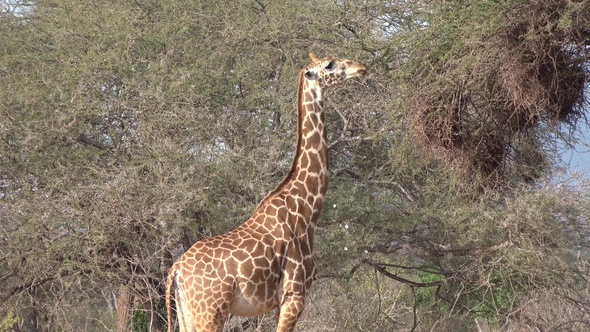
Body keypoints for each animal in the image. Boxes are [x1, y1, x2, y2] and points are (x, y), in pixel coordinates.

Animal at [166, 53, 368, 330]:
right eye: (329, 65)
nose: (362, 68)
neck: (306, 209)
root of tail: (176, 269)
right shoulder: (294, 295)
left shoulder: (280, 303)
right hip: (211, 311)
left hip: (187, 313)